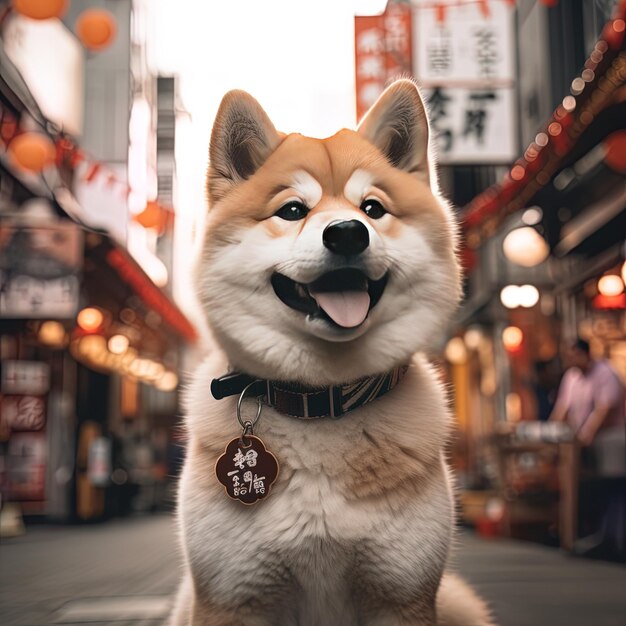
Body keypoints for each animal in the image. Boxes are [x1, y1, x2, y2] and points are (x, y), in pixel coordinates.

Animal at [171, 79, 492, 624]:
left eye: (373, 209)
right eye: (293, 210)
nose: (346, 232)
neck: (318, 405)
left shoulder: (402, 594)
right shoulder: (231, 597)